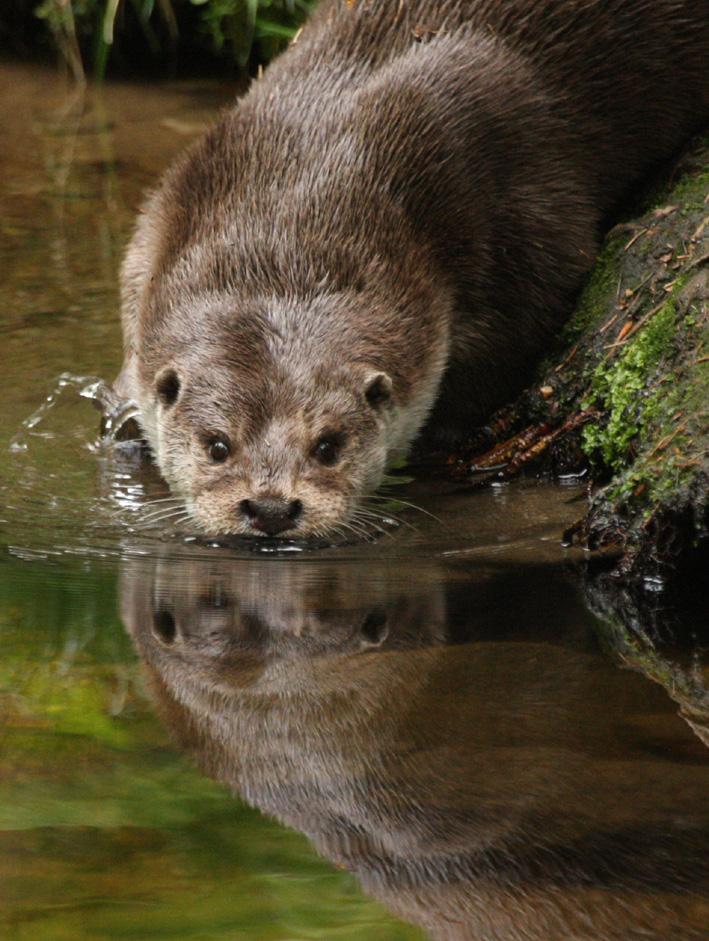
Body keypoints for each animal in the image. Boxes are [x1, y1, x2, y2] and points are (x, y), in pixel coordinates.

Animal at [116, 0, 708, 540]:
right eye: (217, 445)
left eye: (328, 445)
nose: (270, 509)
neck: (297, 191)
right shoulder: (165, 214)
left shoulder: (516, 214)